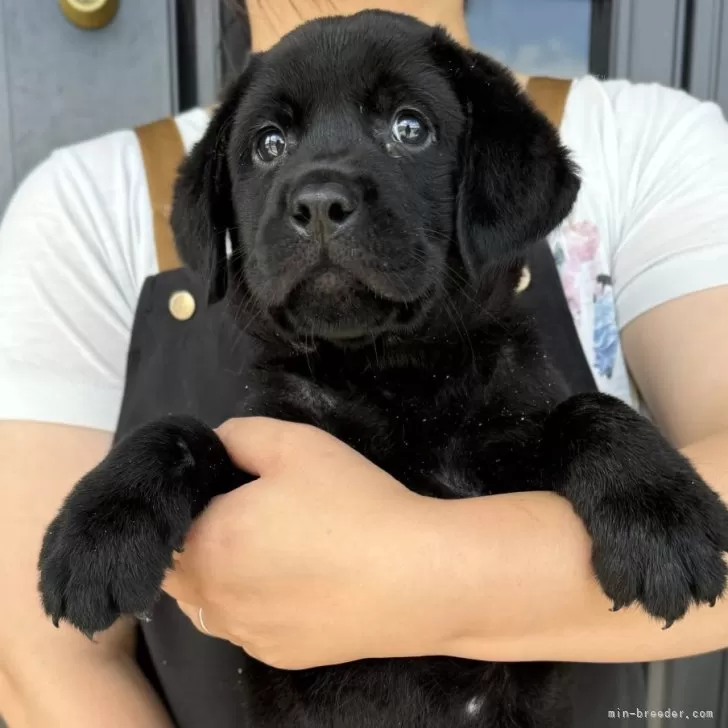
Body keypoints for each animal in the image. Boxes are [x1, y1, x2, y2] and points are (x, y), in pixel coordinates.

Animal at [38, 11, 728, 728]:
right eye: (269, 144)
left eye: (410, 128)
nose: (317, 203)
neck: (395, 378)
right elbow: (177, 431)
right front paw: (96, 533)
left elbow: (588, 410)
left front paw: (659, 515)